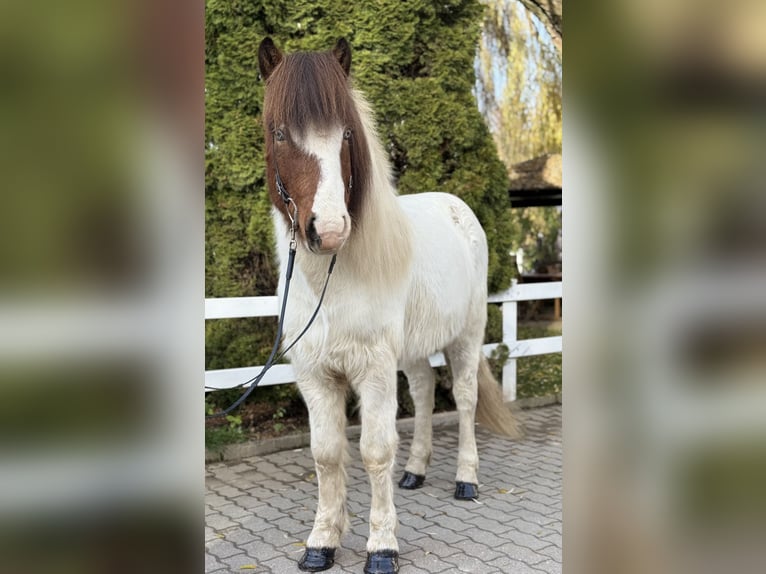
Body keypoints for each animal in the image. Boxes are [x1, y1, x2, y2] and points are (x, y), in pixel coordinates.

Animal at [257, 37, 520, 574]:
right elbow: (326, 453)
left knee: (464, 400)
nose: (329, 229)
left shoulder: (374, 371)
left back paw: (466, 480)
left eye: (344, 134)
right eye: (279, 132)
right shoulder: (316, 375)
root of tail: (458, 208)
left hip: (466, 338)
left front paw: (381, 547)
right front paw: (321, 542)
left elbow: (375, 451)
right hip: (415, 351)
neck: (332, 283)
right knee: (424, 393)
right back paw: (415, 472)